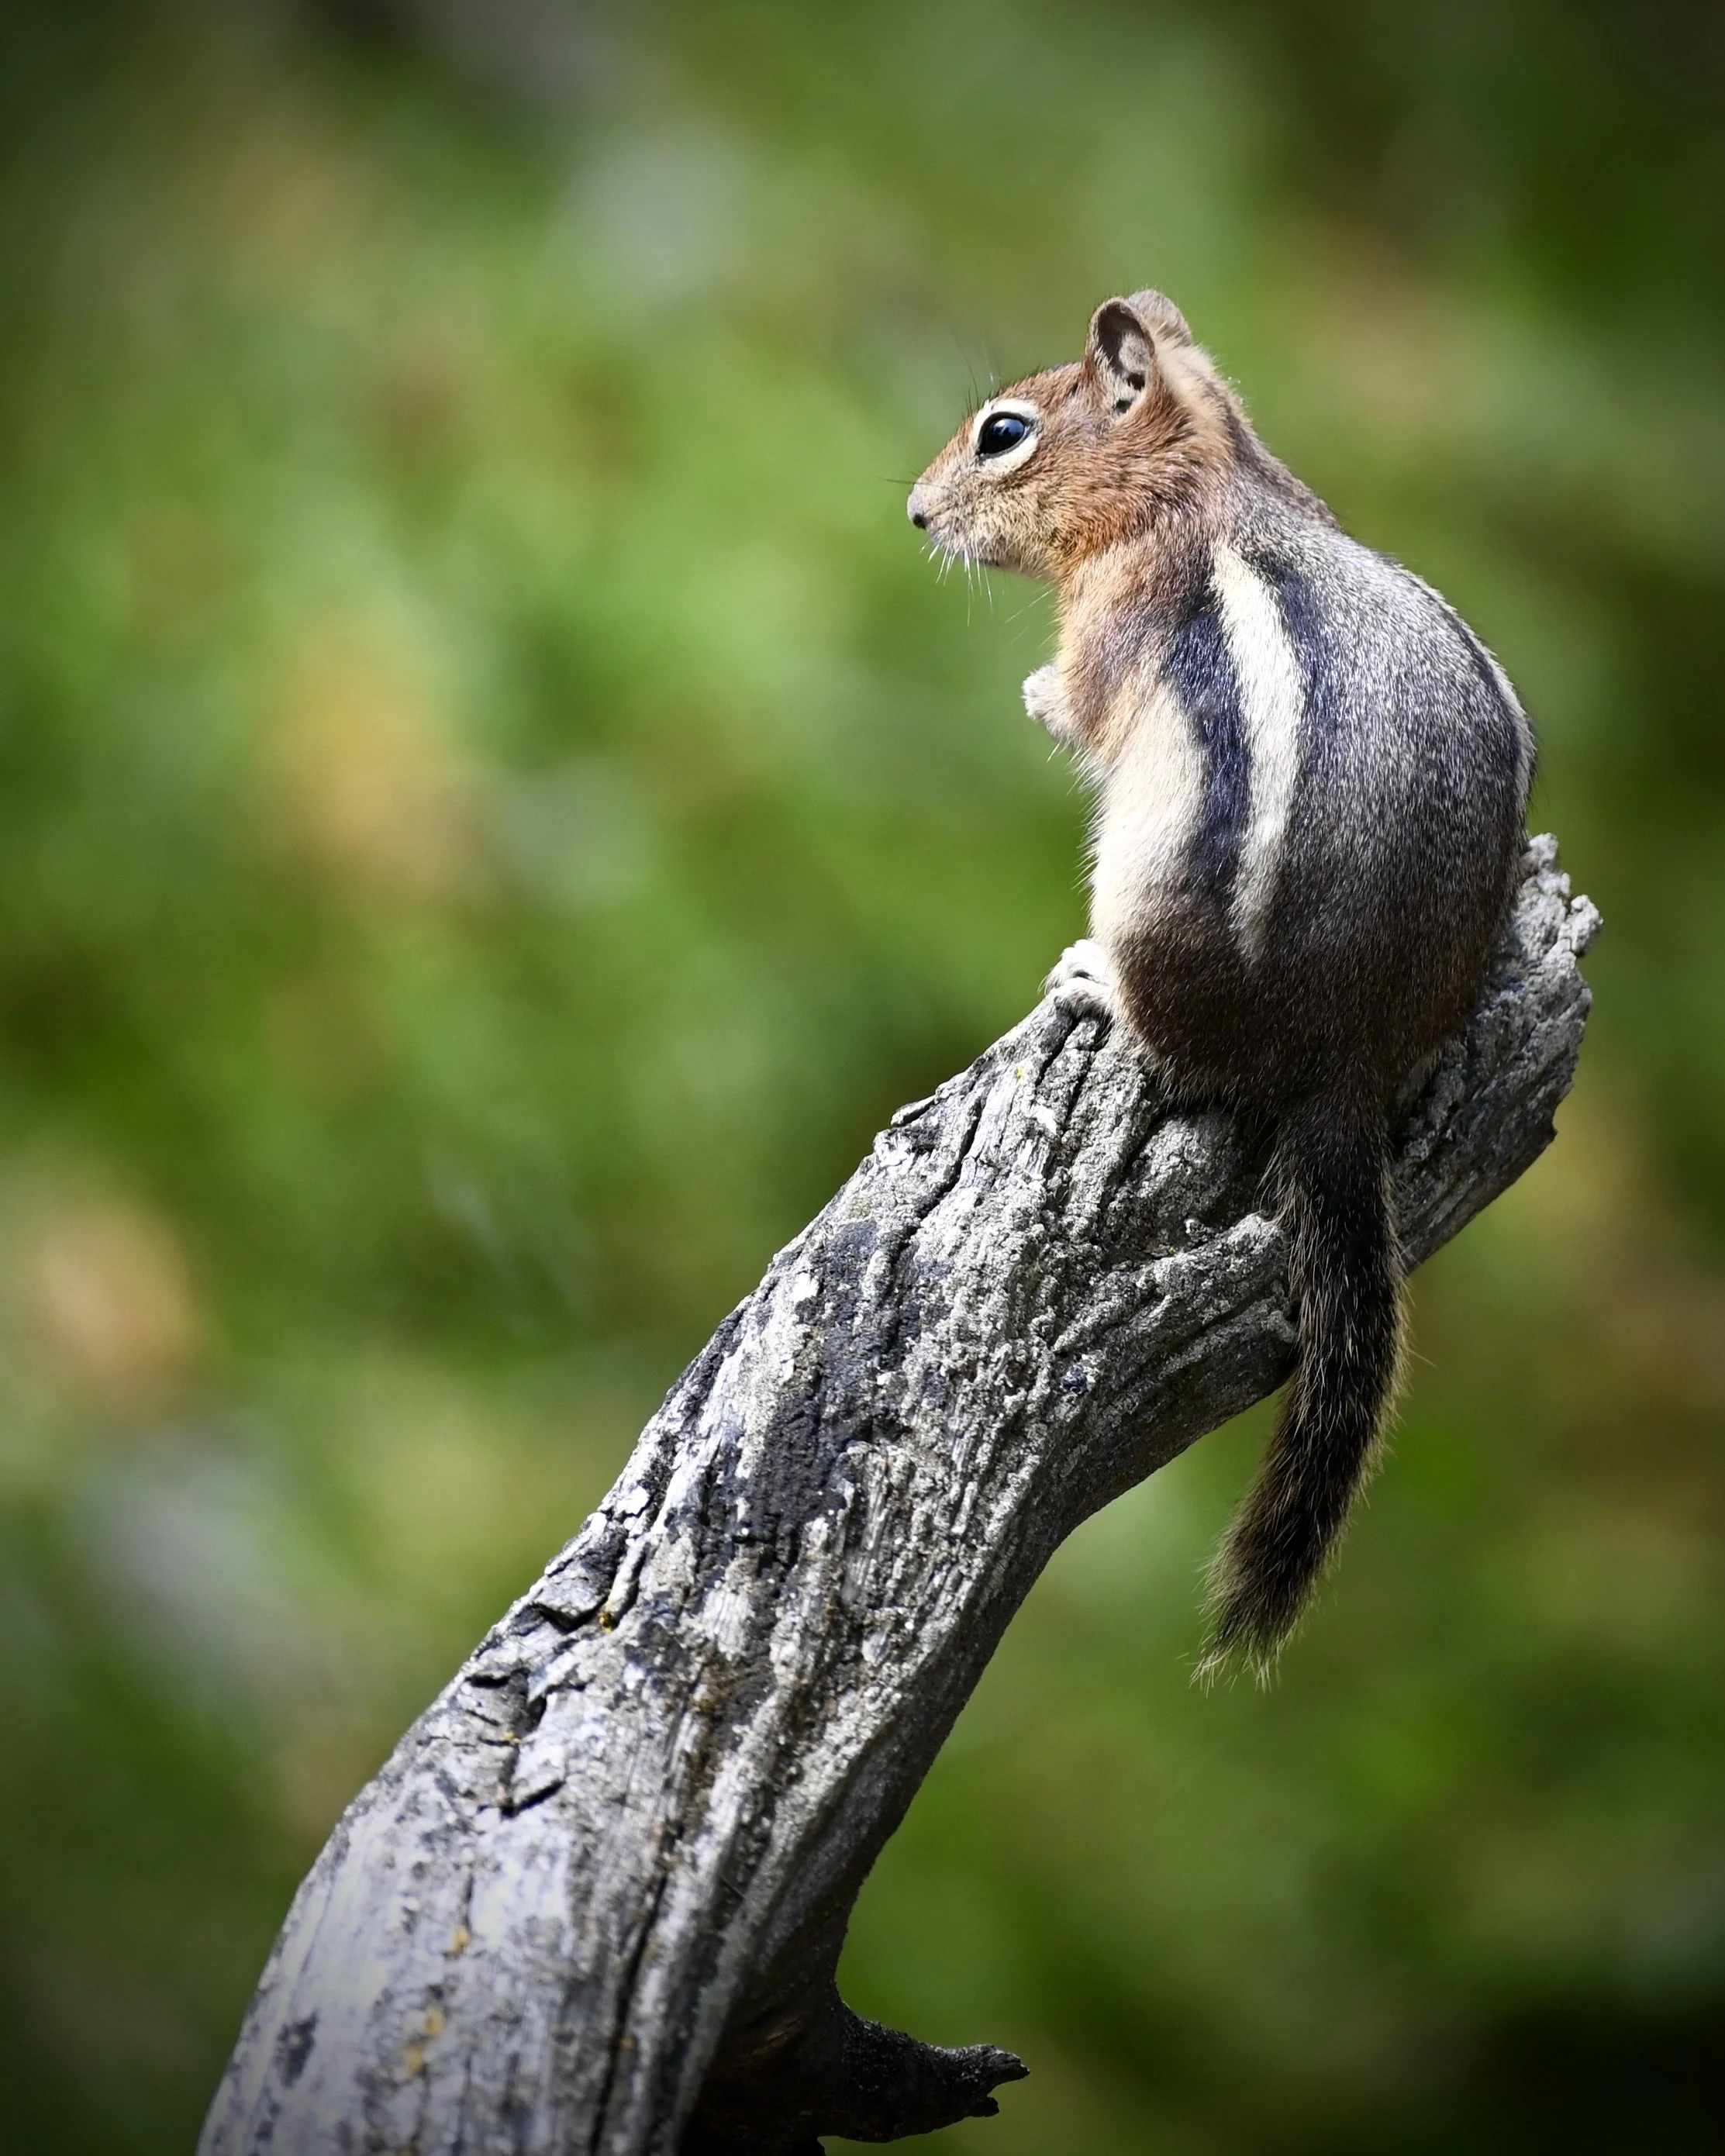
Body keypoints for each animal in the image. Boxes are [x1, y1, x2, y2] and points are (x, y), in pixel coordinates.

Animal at [908, 290, 1532, 1678]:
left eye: (1001, 433)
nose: (915, 515)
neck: (1201, 479)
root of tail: (1343, 1065)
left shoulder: (1122, 616)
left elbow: (1081, 709)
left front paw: (1035, 694)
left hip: (1152, 898)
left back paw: (1094, 983)